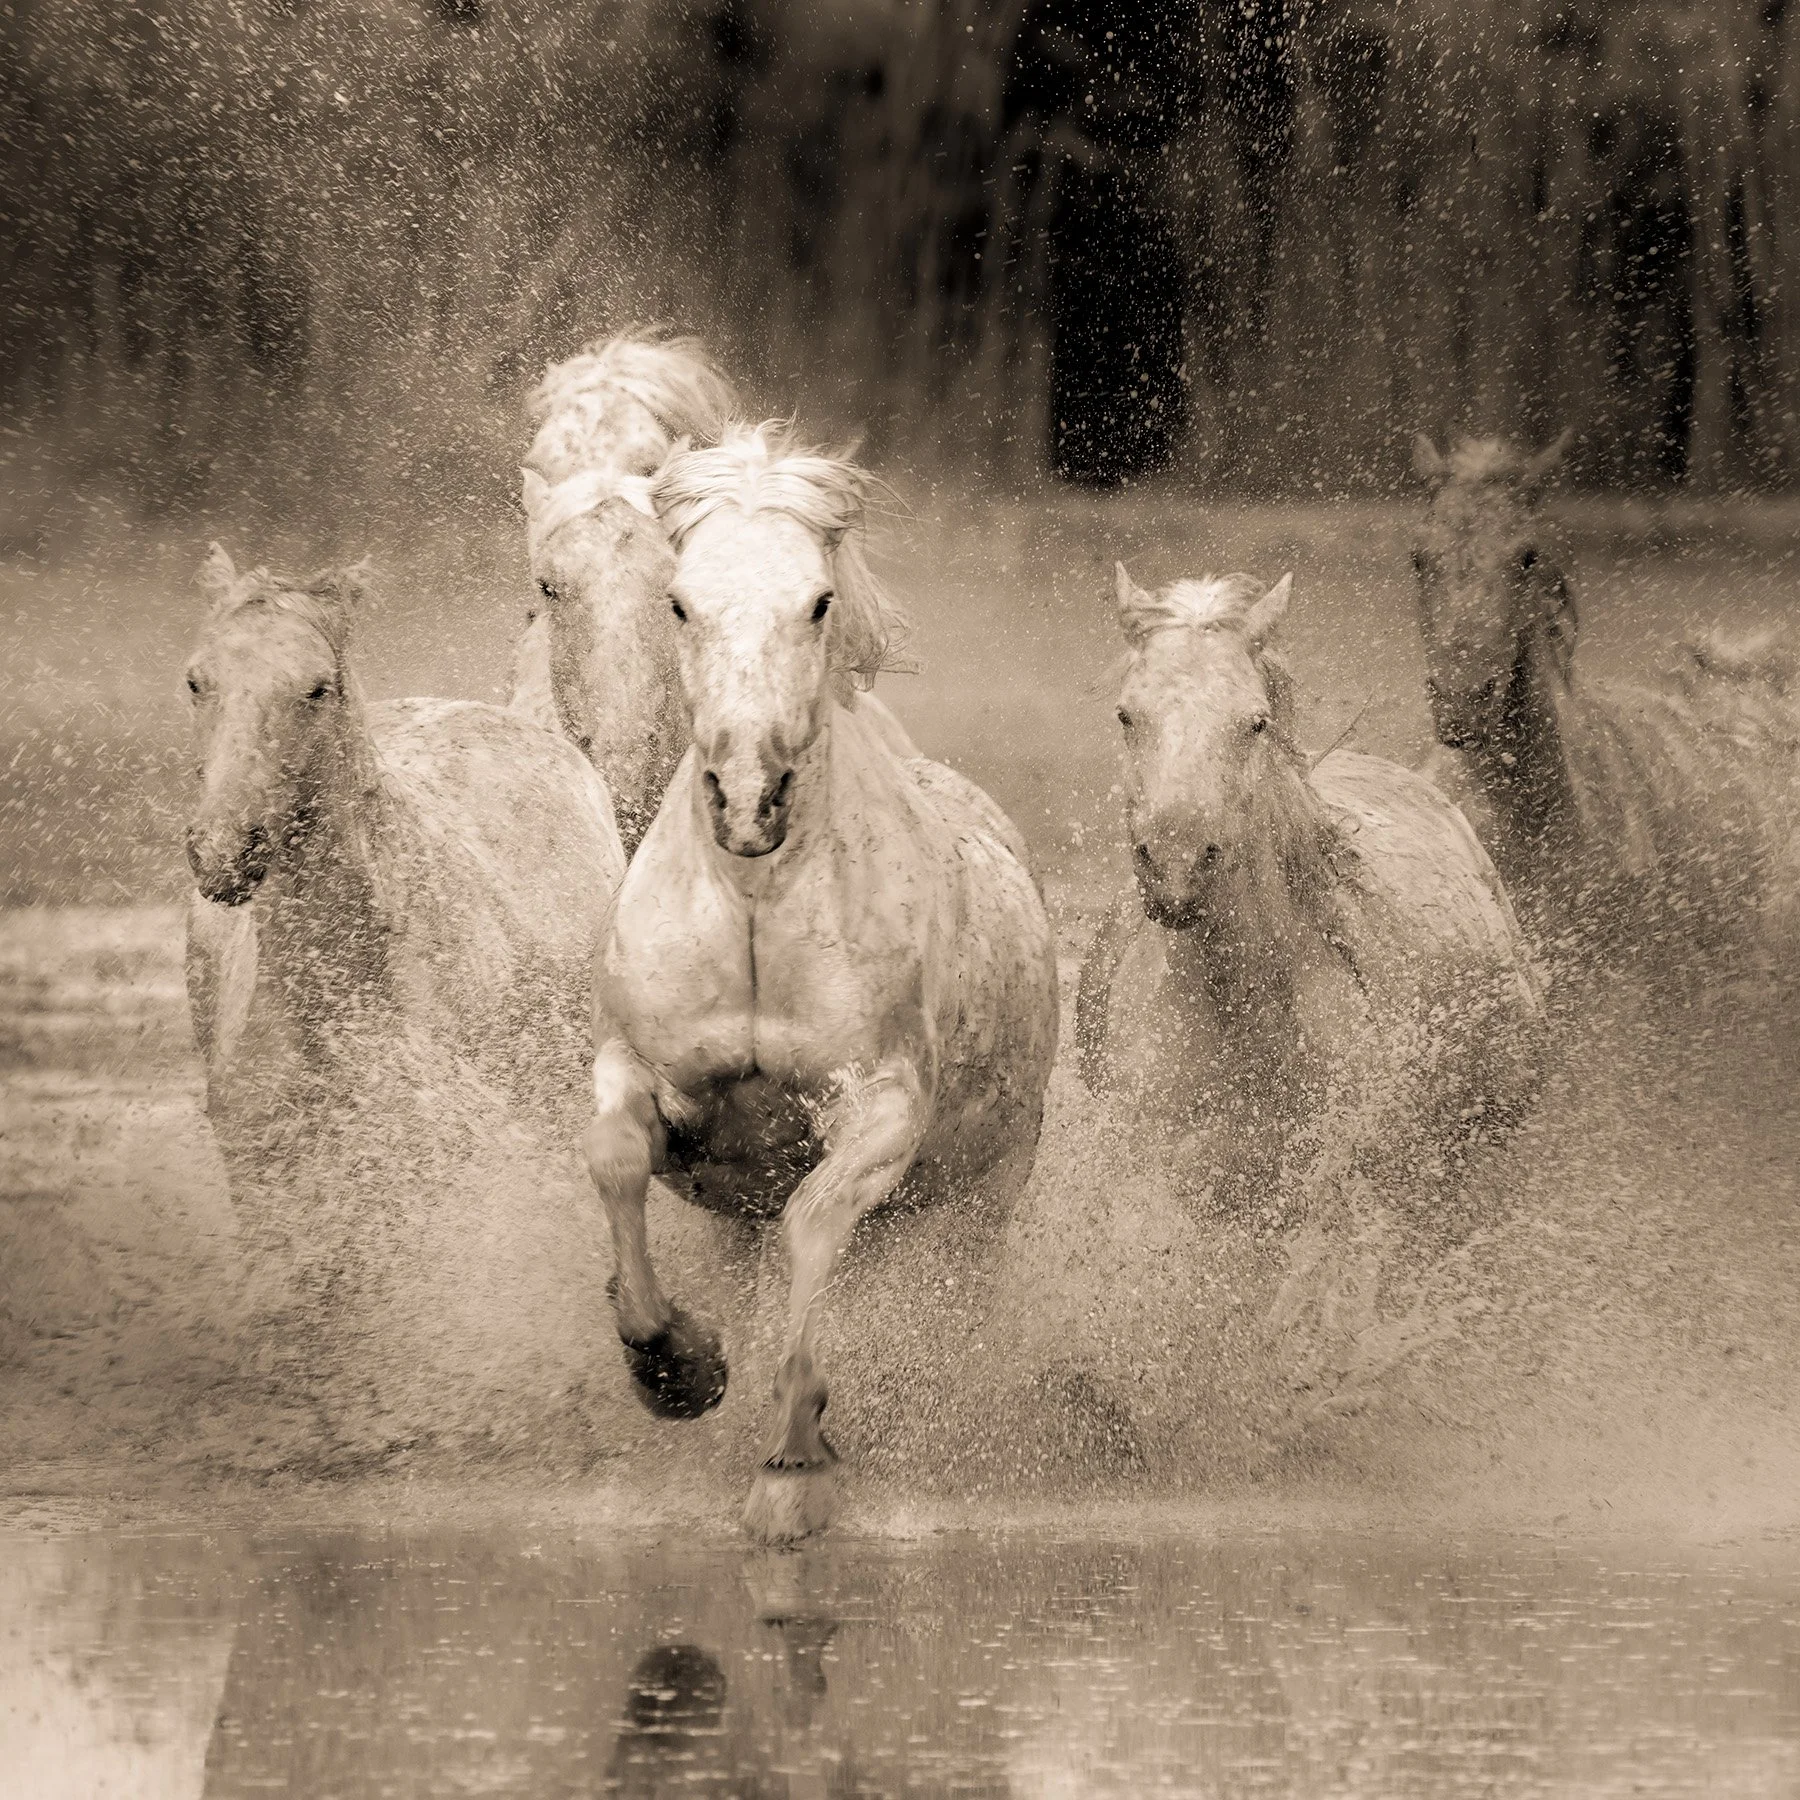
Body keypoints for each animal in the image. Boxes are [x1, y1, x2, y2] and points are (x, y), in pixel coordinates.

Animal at [183, 546, 626, 1453]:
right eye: (196, 680)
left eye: (316, 687)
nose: (222, 853)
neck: (341, 1001)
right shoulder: (270, 1174)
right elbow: (312, 1313)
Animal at [579, 424, 1060, 1543]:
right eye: (679, 601)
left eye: (819, 601)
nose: (749, 800)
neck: (757, 903)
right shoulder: (645, 1076)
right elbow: (616, 1160)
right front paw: (676, 1367)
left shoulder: (878, 1110)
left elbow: (811, 1226)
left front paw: (794, 1463)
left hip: (969, 1211)